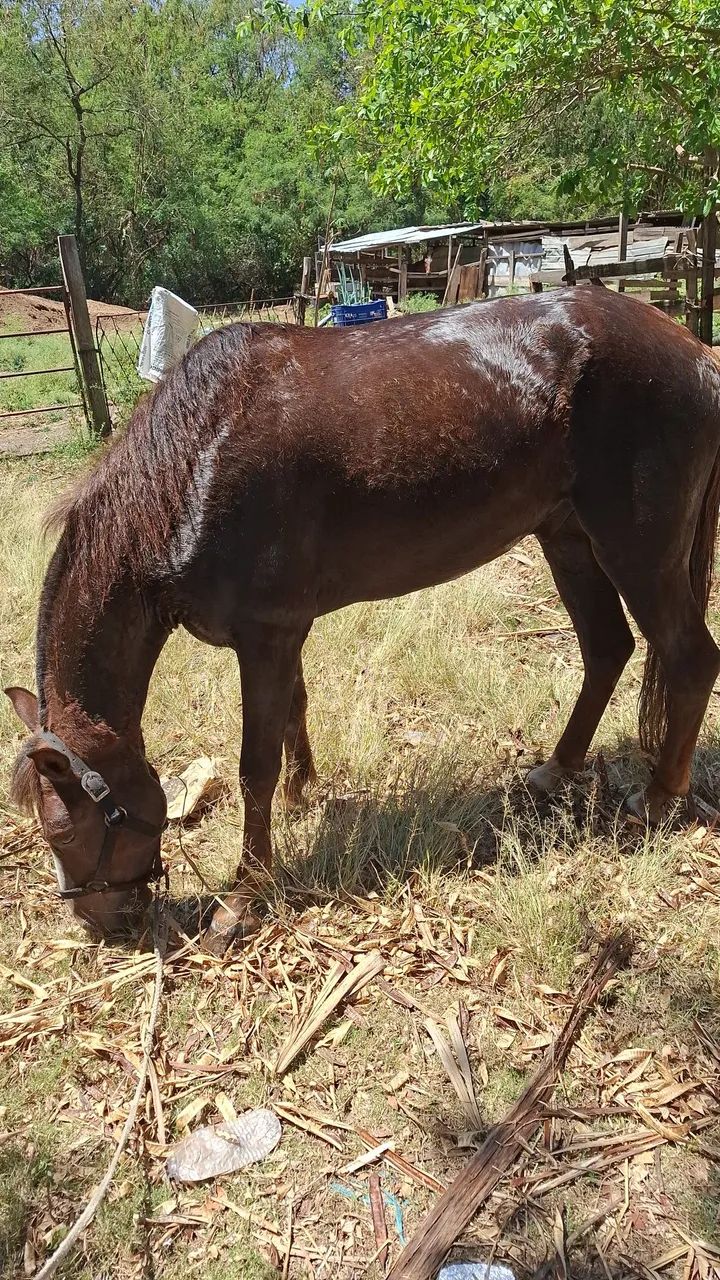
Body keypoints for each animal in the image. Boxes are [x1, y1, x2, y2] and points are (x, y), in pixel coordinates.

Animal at [7, 285, 720, 952]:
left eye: (65, 829)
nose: (96, 922)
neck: (196, 459)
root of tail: (694, 353)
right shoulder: (283, 632)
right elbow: (293, 712)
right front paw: (302, 794)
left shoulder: (265, 635)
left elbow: (253, 767)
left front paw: (244, 896)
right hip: (567, 536)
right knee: (606, 649)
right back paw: (555, 771)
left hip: (636, 548)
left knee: (688, 657)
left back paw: (659, 798)